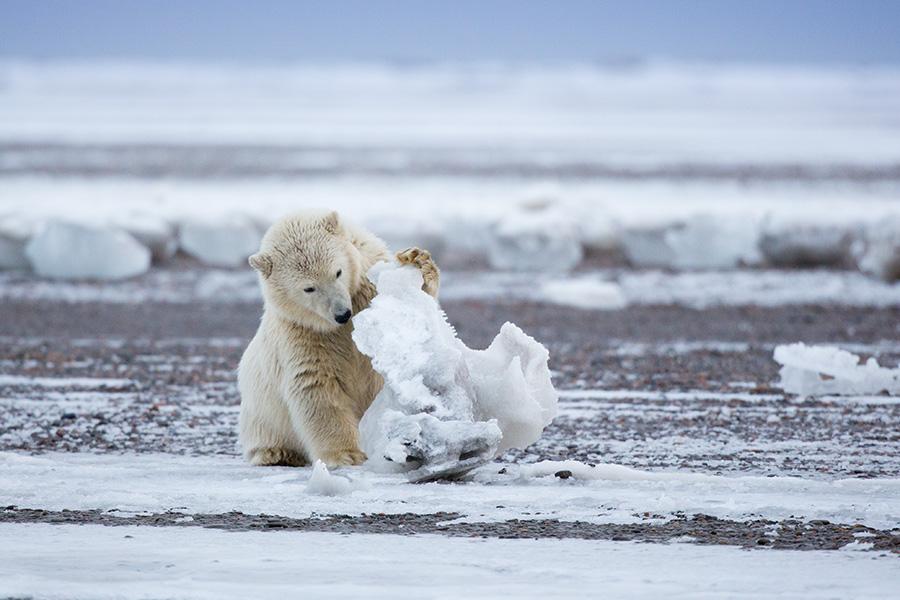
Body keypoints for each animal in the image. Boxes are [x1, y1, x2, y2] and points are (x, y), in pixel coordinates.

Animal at [238, 210, 440, 467]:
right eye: (309, 288)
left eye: (337, 272)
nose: (342, 313)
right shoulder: (302, 333)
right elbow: (317, 386)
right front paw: (347, 454)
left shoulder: (367, 286)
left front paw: (419, 262)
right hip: (260, 413)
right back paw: (277, 454)